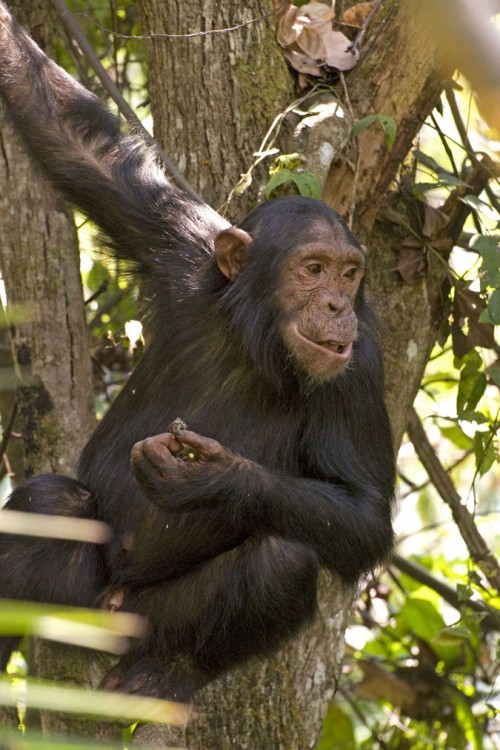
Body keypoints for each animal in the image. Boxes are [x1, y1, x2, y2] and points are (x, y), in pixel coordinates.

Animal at [0, 1, 396, 704]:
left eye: (350, 274)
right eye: (313, 269)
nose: (335, 305)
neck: (253, 341)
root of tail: (110, 612)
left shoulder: (361, 367)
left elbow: (365, 511)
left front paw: (212, 478)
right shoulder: (181, 243)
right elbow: (78, 142)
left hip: (147, 623)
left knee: (282, 560)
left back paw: (167, 674)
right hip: (76, 601)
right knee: (50, 502)